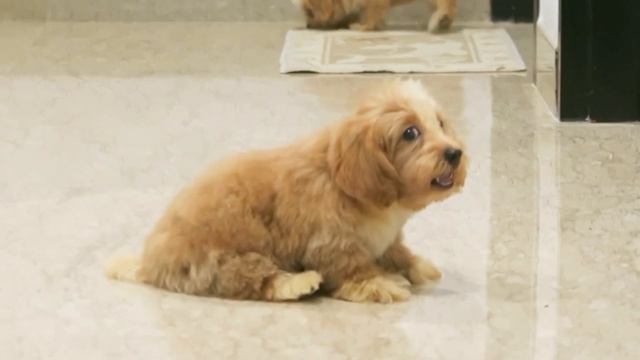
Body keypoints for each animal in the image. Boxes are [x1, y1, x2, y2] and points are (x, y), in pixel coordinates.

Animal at [107, 80, 468, 302]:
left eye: (439, 123)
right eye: (410, 133)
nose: (455, 153)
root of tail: (149, 264)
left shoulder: (387, 238)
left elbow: (398, 251)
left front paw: (416, 266)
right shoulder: (332, 243)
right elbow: (353, 269)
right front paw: (379, 283)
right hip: (228, 260)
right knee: (256, 282)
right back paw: (297, 283)